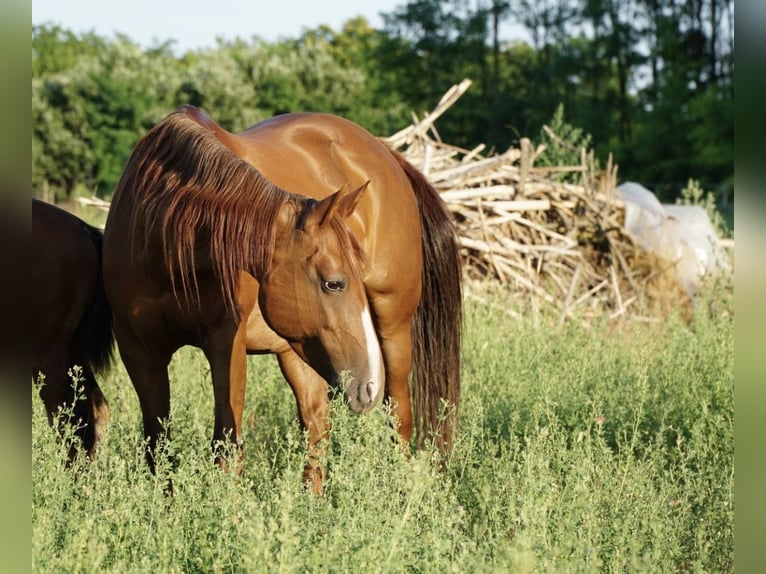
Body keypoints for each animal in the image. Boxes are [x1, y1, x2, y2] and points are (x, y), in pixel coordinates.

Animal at [102, 106, 462, 491]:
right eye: (334, 283)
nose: (368, 384)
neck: (162, 240)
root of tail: (388, 155)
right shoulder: (139, 350)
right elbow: (158, 446)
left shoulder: (225, 344)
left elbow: (226, 446)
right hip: (300, 350)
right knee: (317, 423)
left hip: (393, 327)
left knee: (399, 417)